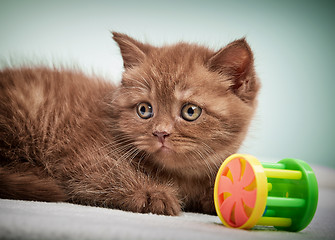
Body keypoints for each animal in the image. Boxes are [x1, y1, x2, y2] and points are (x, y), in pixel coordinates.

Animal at [0, 32, 260, 216]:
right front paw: (151, 192)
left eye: (190, 111)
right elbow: (103, 173)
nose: (161, 133)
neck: (182, 178)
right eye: (145, 110)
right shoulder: (81, 156)